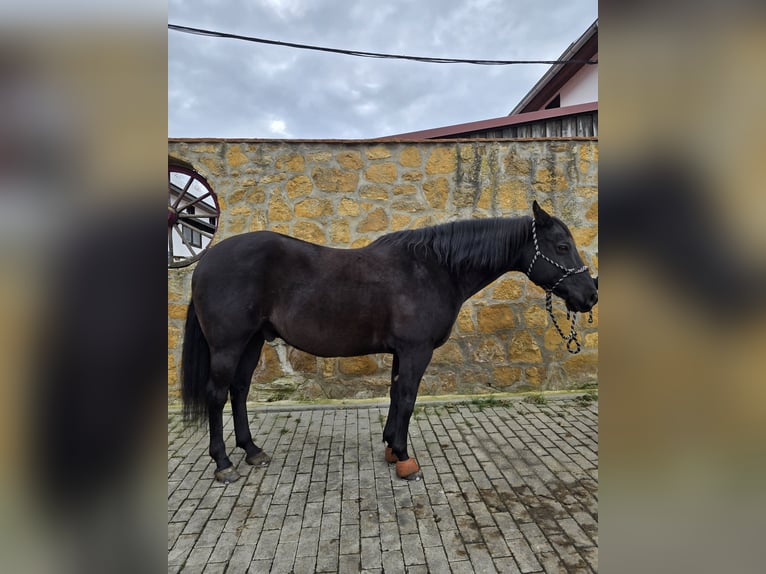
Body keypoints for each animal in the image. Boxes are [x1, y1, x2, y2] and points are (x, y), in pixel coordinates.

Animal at [181, 201, 598, 483]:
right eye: (562, 246)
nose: (590, 295)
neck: (435, 268)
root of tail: (206, 261)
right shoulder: (416, 351)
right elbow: (409, 398)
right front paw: (405, 458)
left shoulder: (403, 352)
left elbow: (397, 395)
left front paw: (390, 449)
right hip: (228, 345)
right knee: (217, 395)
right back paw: (223, 464)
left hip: (252, 342)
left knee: (238, 391)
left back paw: (252, 451)